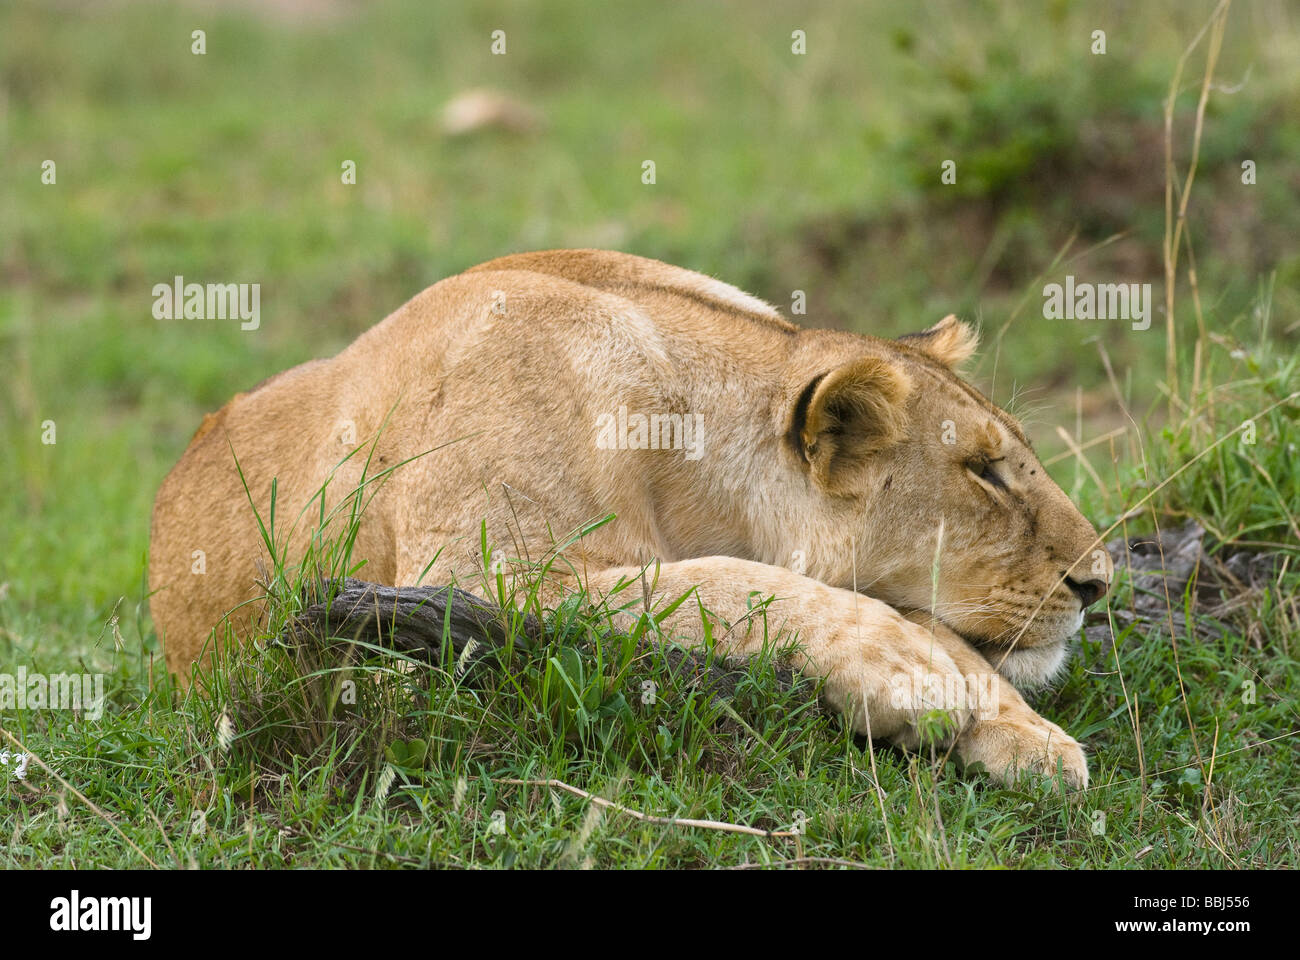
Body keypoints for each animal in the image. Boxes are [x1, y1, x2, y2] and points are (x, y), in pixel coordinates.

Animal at [149, 249, 1109, 787]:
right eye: (984, 471)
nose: (1098, 583)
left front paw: (1027, 736)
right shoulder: (480, 574)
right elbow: (730, 582)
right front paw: (910, 678)